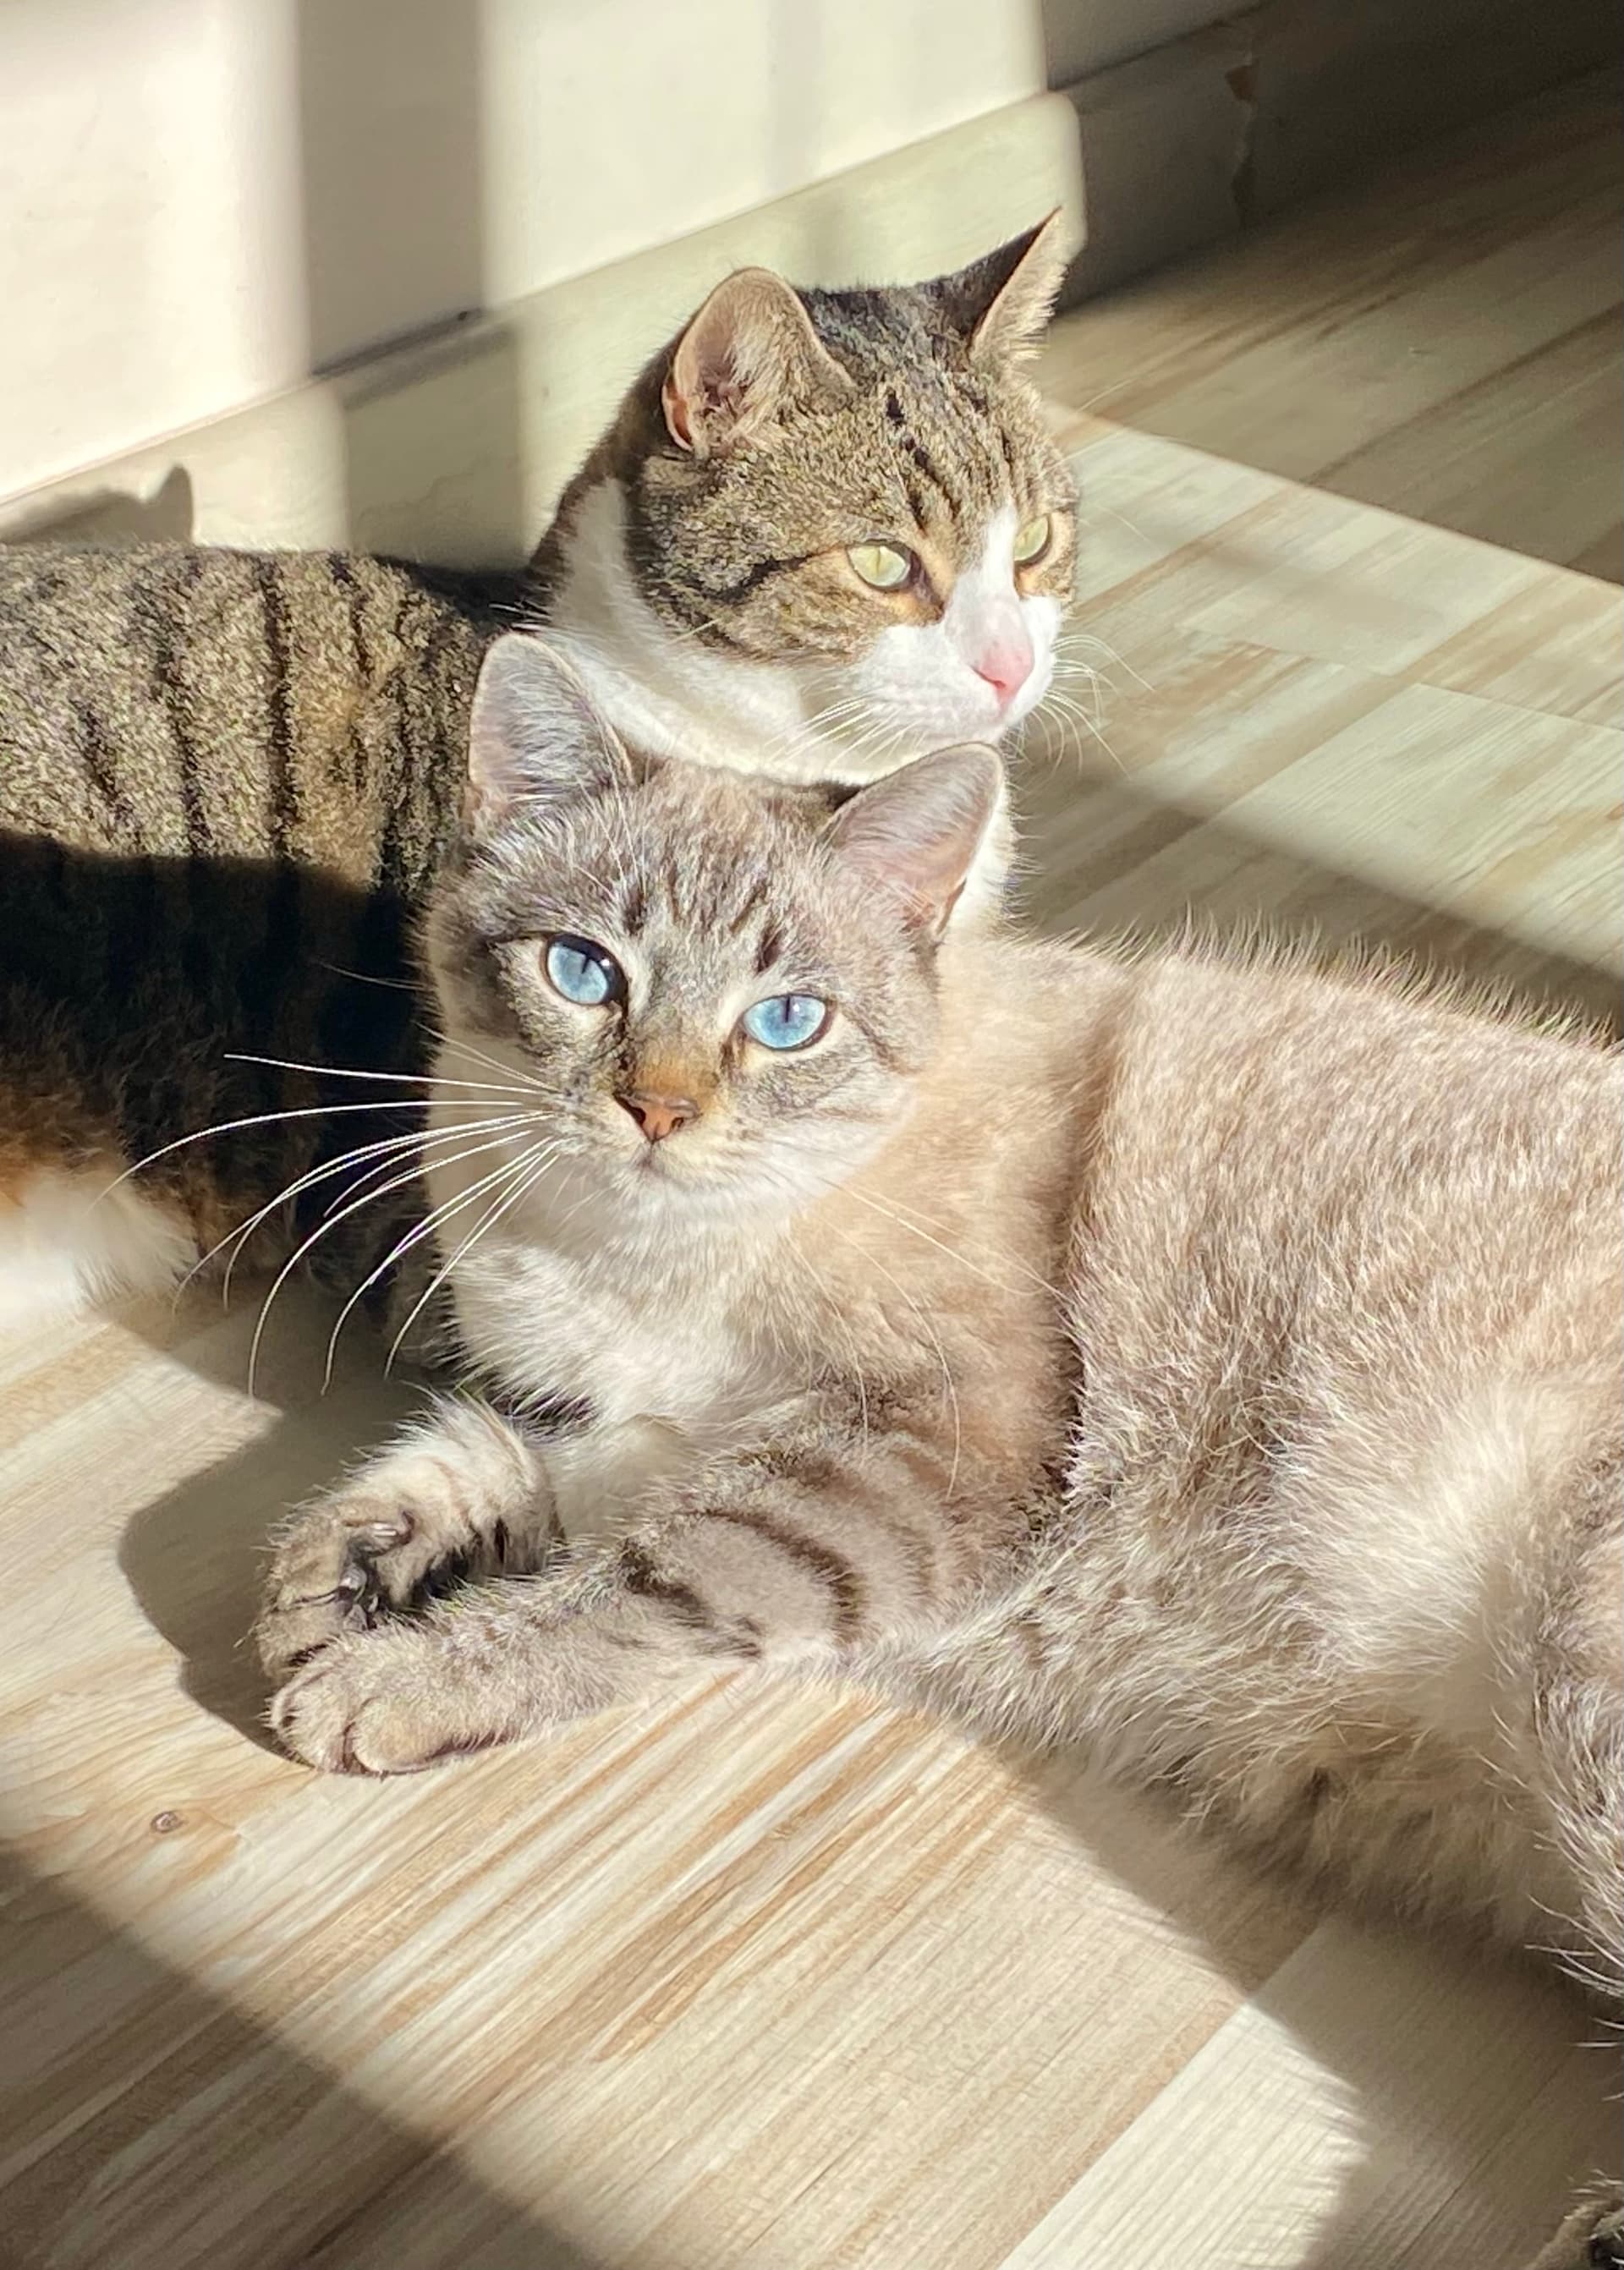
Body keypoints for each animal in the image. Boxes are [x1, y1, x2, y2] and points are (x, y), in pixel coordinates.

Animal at [260, 634, 1622, 2270]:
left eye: (787, 1019)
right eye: (584, 972)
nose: (656, 1108)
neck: (630, 1263)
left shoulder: (916, 1455)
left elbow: (627, 1582)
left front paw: (398, 1675)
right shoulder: (662, 1425)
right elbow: (503, 1467)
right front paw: (355, 1568)